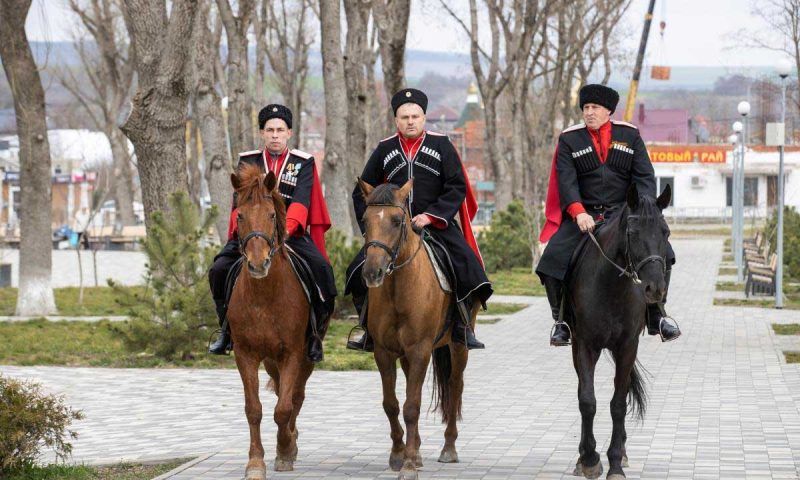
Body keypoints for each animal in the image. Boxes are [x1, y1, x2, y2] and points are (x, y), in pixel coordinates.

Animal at [228, 164, 316, 480]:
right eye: (239, 216)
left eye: (272, 215)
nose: (257, 264)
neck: (264, 296)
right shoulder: (245, 354)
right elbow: (254, 409)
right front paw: (255, 462)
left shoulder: (293, 352)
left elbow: (284, 408)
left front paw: (285, 450)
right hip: (269, 359)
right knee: (280, 390)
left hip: (306, 357)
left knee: (296, 397)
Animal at [358, 180, 476, 480]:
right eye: (364, 220)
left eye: (397, 221)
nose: (372, 273)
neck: (398, 287)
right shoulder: (384, 352)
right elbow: (392, 404)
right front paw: (399, 455)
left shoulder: (420, 349)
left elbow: (412, 406)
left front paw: (409, 464)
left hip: (459, 346)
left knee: (455, 387)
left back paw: (448, 448)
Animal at [568, 183, 668, 476]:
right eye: (633, 234)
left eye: (666, 232)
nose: (655, 289)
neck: (611, 286)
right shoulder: (586, 345)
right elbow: (587, 401)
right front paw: (590, 458)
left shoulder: (627, 346)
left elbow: (619, 404)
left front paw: (614, 462)